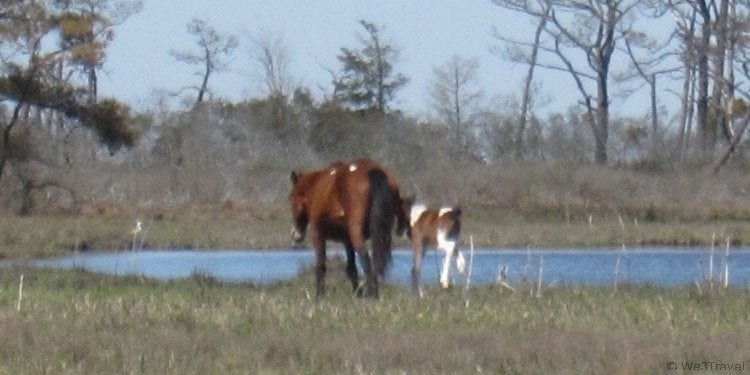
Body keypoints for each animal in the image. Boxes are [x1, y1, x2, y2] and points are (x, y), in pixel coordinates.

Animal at [290, 160, 408, 298]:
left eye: (291, 198)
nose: (296, 235)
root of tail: (373, 171)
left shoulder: (318, 235)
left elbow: (321, 266)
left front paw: (319, 296)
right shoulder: (347, 241)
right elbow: (351, 268)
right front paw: (357, 294)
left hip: (356, 233)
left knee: (365, 259)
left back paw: (372, 294)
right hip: (382, 234)